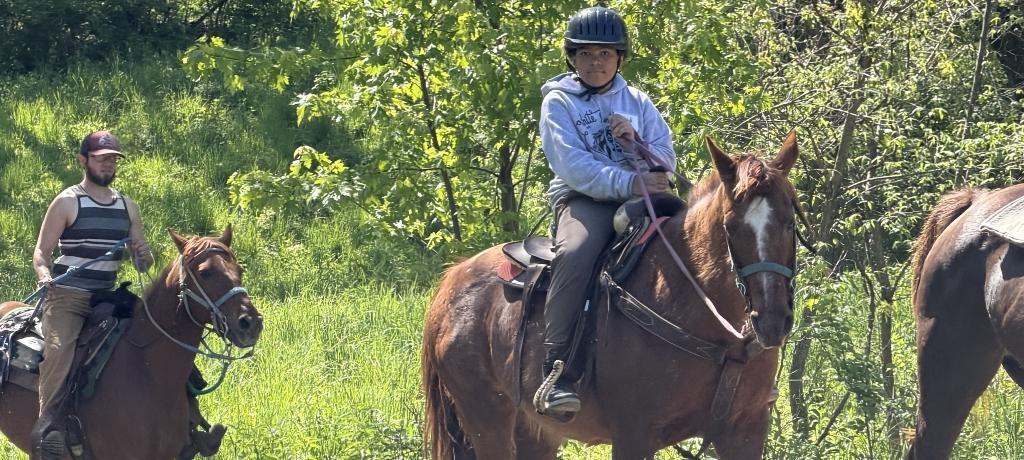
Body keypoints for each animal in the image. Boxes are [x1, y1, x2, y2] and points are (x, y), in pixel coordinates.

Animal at [422, 132, 802, 459]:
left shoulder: (745, 431)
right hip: (488, 422)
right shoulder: (634, 434)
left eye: (790, 222)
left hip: (533, 431)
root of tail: (450, 281)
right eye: (731, 227)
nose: (771, 321)